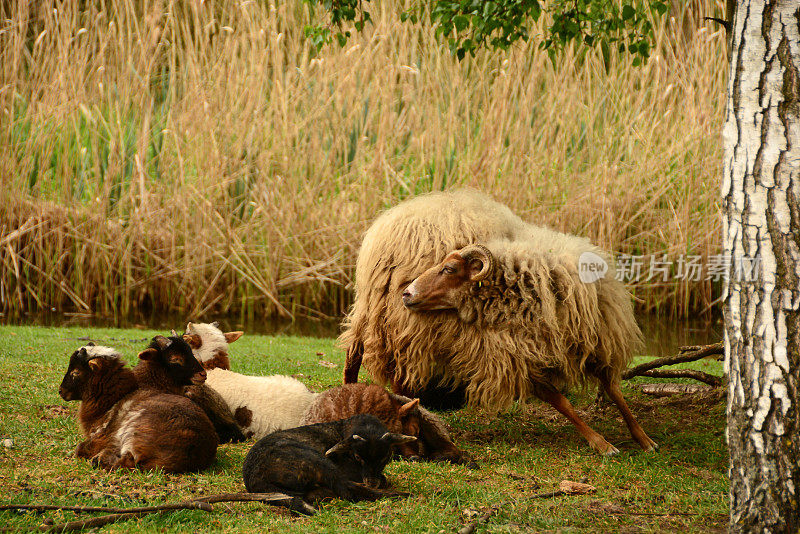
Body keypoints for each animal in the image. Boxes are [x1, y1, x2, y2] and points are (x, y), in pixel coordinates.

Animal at [57, 340, 217, 474]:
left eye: (76, 372)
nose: (60, 391)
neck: (113, 399)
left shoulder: (104, 434)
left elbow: (80, 448)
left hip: (134, 430)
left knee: (126, 462)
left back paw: (100, 459)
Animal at [244, 414, 416, 516]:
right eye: (357, 456)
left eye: (385, 457)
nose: (372, 482)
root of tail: (254, 479)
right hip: (318, 462)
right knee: (348, 490)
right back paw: (403, 495)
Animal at [342, 188, 656, 456]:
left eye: (449, 269)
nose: (407, 293)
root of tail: (386, 228)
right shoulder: (514, 355)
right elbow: (562, 401)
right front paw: (600, 442)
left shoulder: (590, 341)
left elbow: (613, 389)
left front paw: (643, 438)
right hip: (402, 321)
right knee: (384, 369)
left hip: (379, 312)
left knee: (357, 357)